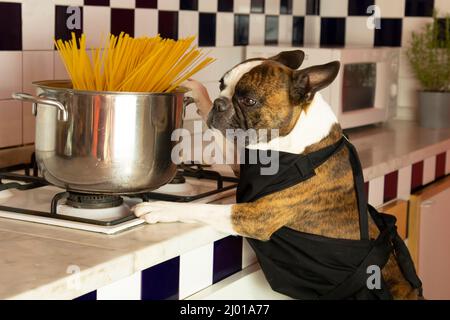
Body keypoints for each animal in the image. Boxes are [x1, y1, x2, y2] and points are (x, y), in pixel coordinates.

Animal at [134, 50, 422, 300]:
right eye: (221, 85)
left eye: (249, 101)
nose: (219, 102)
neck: (293, 141)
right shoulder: (243, 159)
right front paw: (197, 92)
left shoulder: (254, 217)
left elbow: (203, 209)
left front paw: (160, 209)